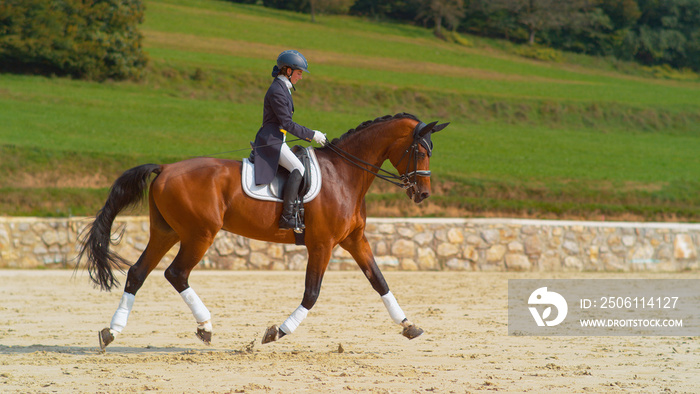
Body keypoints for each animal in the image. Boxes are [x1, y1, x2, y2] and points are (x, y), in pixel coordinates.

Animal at [76, 112, 448, 350]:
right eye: (419, 150)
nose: (423, 194)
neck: (345, 173)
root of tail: (165, 168)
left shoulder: (354, 240)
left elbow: (379, 281)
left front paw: (408, 326)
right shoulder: (322, 244)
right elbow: (311, 294)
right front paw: (276, 332)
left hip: (167, 232)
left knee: (138, 273)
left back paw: (111, 332)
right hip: (199, 234)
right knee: (176, 273)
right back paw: (205, 327)